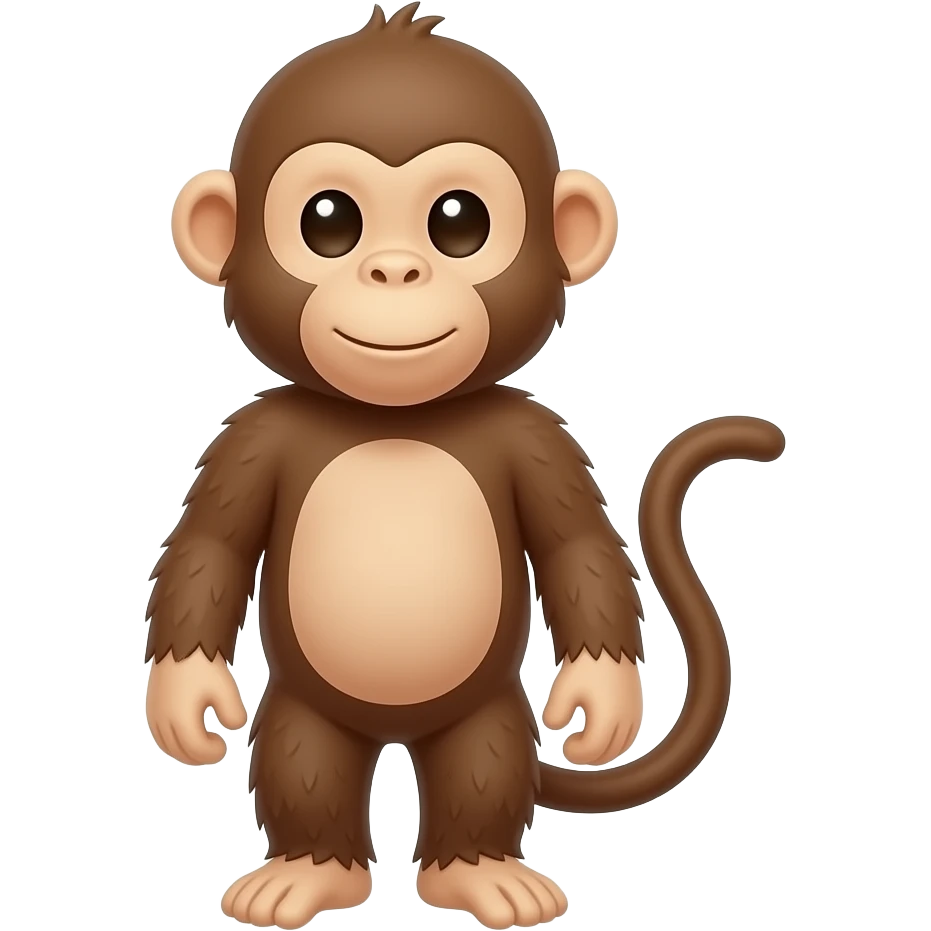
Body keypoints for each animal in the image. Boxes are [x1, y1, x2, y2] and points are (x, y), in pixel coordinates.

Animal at [148, 4, 786, 929]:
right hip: (304, 705)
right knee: (306, 762)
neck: (396, 418)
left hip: (486, 710)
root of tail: (395, 731)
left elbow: (577, 549)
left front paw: (600, 702)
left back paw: (482, 874)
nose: (394, 270)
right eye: (328, 221)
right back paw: (305, 873)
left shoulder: (535, 436)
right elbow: (211, 547)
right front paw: (185, 700)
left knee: (480, 766)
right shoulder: (252, 437)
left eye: (459, 222)